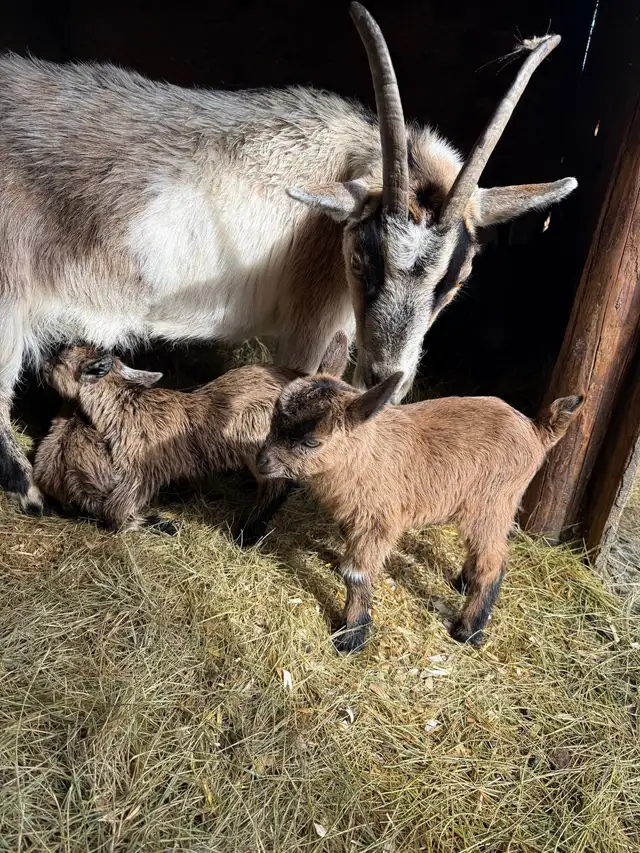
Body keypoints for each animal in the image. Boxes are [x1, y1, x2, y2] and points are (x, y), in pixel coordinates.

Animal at [0, 3, 577, 515]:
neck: (348, 162)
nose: (387, 374)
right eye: (361, 261)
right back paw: (32, 494)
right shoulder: (312, 319)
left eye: (452, 282)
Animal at [33, 333, 349, 538]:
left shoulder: (143, 471)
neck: (127, 408)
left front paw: (160, 523)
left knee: (277, 485)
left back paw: (247, 533)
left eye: (60, 361)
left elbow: (115, 514)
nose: (41, 366)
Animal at [255, 372, 584, 651]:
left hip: (492, 503)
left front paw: (351, 636)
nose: (262, 461)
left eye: (311, 441)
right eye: (273, 421)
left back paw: (468, 630)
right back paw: (463, 584)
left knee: (493, 564)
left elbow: (357, 575)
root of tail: (537, 430)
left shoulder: (379, 522)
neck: (362, 458)